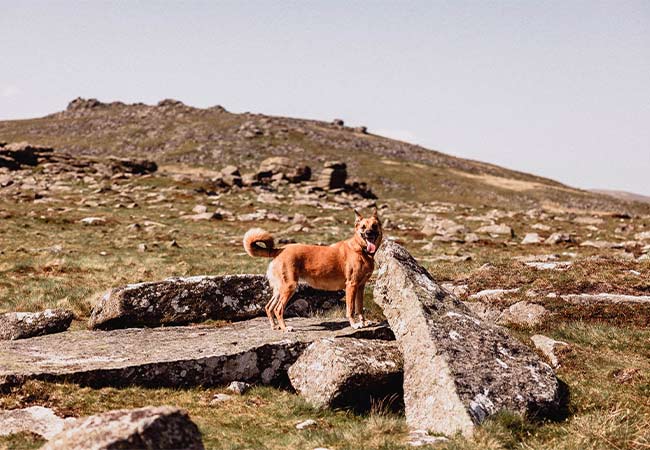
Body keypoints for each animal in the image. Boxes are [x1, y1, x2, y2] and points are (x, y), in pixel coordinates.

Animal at [246, 210, 382, 330]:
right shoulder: (351, 286)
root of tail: (279, 250)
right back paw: (285, 328)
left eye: (374, 226)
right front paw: (354, 324)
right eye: (363, 227)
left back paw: (275, 326)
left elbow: (360, 307)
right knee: (278, 309)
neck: (361, 249)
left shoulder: (360, 286)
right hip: (289, 286)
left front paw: (364, 322)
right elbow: (351, 309)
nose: (369, 233)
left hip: (280, 289)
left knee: (268, 307)